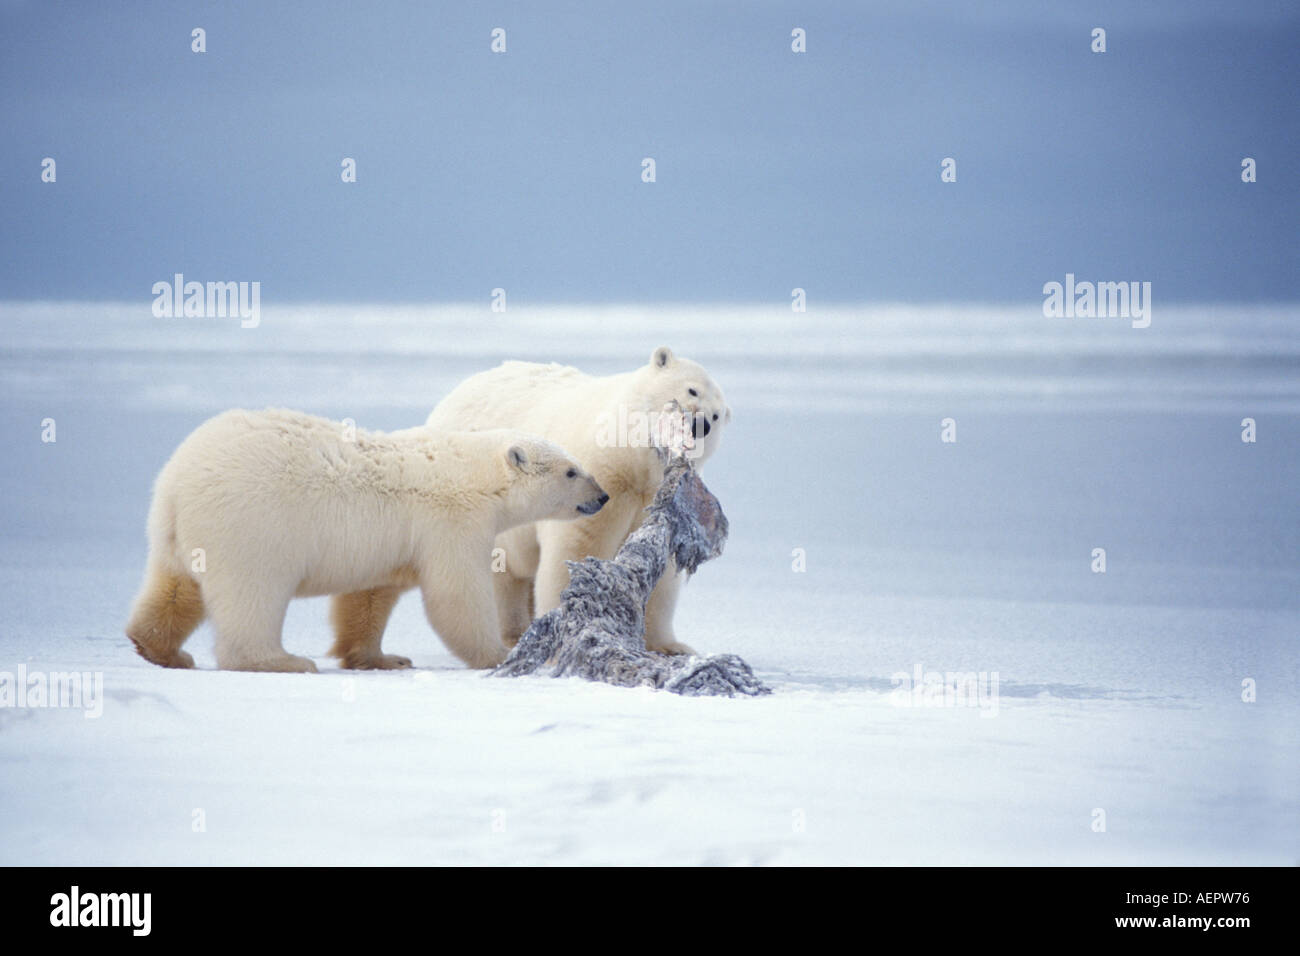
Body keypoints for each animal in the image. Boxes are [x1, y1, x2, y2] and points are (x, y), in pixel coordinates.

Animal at [125, 408, 603, 671]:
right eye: (572, 471)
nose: (602, 496)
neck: (472, 473)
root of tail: (178, 485)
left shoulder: (396, 541)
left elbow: (370, 595)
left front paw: (383, 658)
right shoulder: (450, 523)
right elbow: (457, 595)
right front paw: (501, 652)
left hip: (174, 532)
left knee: (174, 586)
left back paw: (158, 648)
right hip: (252, 525)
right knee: (253, 594)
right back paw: (281, 661)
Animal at [428, 348, 728, 655]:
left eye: (717, 416)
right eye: (692, 390)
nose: (701, 424)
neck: (632, 463)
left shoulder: (656, 498)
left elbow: (662, 571)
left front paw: (668, 646)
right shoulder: (598, 481)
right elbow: (580, 546)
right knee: (502, 572)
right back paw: (512, 635)